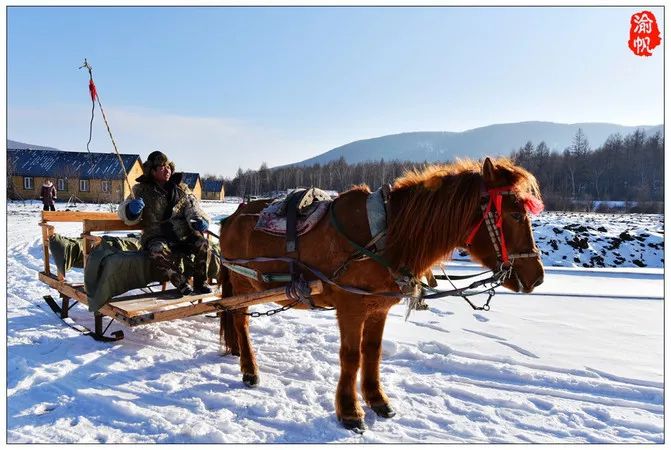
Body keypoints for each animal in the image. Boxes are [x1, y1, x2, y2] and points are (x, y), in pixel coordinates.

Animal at [220, 157, 544, 432]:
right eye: (516, 214)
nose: (537, 277)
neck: (386, 236)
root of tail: (231, 217)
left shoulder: (378, 308)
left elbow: (372, 352)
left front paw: (377, 399)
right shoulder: (350, 307)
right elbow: (351, 356)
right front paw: (349, 411)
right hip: (242, 283)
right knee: (240, 321)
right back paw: (249, 369)